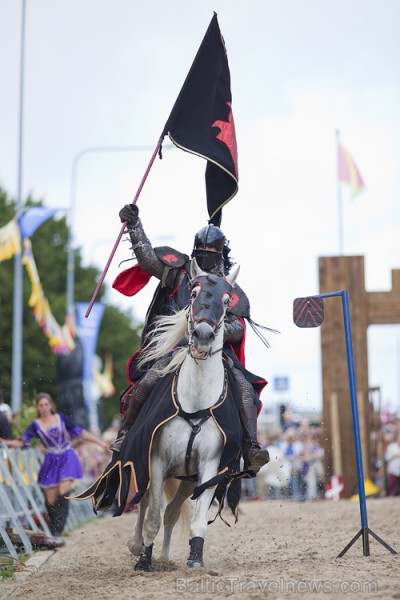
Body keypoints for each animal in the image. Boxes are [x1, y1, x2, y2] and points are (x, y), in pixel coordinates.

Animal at [128, 258, 241, 572]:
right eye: (193, 294)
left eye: (227, 301)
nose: (202, 336)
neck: (195, 402)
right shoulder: (155, 461)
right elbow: (152, 515)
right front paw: (144, 560)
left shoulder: (209, 468)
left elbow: (197, 520)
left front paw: (195, 558)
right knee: (146, 504)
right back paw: (137, 546)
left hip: (187, 478)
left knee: (172, 512)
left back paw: (166, 557)